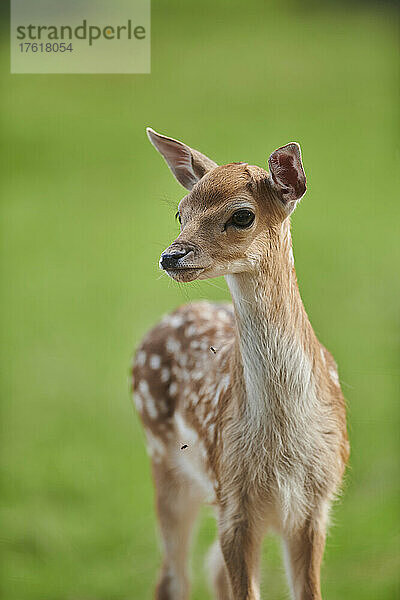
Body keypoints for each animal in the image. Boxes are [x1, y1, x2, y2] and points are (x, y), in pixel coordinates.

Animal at [132, 127, 350, 600]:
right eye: (180, 213)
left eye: (242, 215)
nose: (172, 256)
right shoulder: (233, 494)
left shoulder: (317, 502)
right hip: (165, 460)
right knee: (173, 576)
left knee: (208, 570)